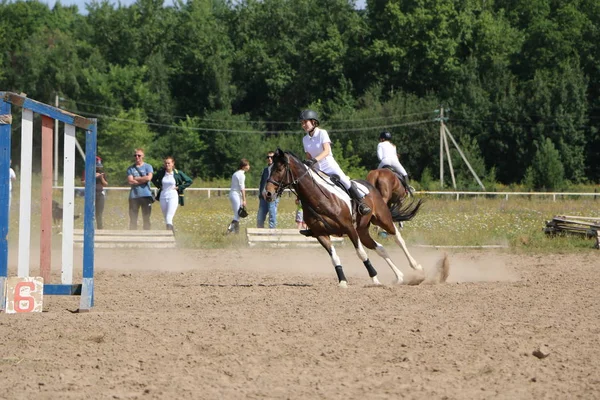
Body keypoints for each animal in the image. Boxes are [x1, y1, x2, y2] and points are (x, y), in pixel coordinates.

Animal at [264, 148, 424, 286]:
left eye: (279, 169)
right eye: (270, 169)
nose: (267, 194)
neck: (319, 199)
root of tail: (371, 185)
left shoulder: (349, 228)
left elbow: (361, 253)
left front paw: (374, 278)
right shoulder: (321, 234)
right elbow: (334, 258)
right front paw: (342, 281)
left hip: (382, 219)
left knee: (398, 238)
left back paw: (417, 267)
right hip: (362, 231)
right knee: (380, 248)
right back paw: (399, 277)